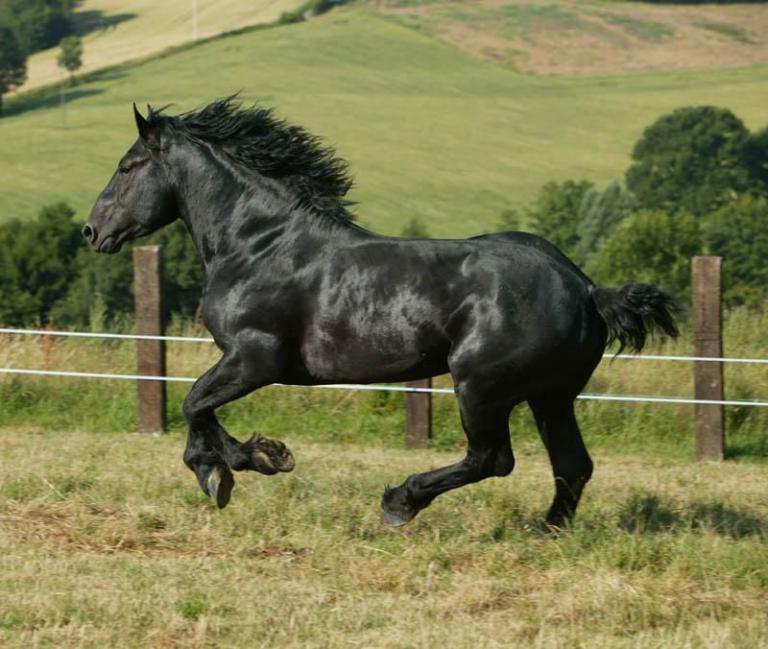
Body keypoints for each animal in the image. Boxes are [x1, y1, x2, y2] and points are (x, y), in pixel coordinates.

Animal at [83, 98, 679, 529]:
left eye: (127, 166)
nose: (91, 231)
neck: (258, 244)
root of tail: (585, 287)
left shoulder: (255, 358)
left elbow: (193, 405)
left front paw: (244, 464)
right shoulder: (246, 363)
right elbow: (198, 411)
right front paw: (238, 464)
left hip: (481, 386)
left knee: (492, 459)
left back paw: (400, 503)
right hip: (550, 395)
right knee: (571, 464)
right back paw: (547, 530)